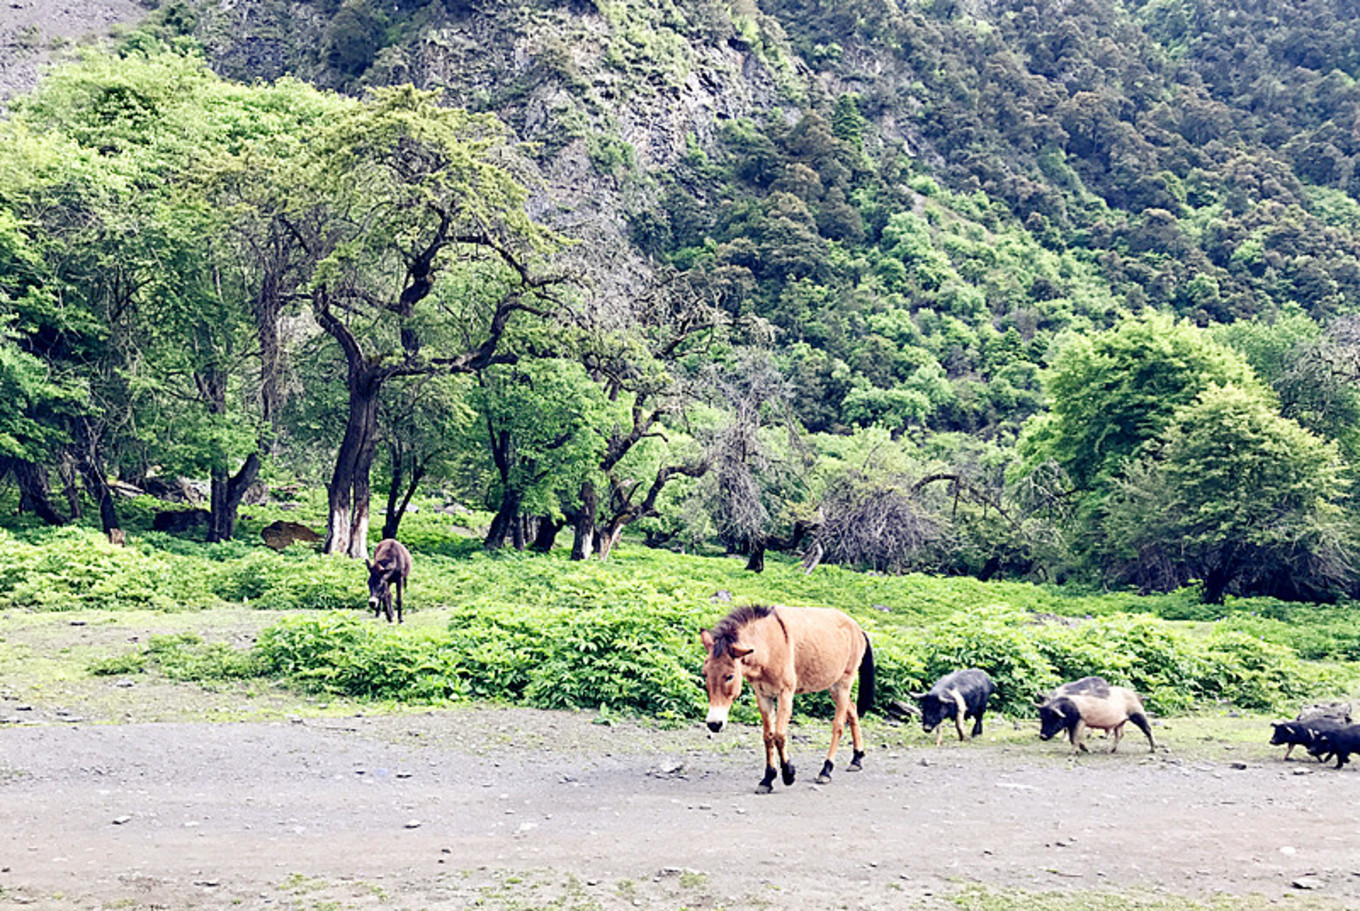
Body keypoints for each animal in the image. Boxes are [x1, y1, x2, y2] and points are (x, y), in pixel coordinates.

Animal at [696, 609, 875, 794]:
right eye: (704, 673)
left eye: (729, 676)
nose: (714, 724)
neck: (769, 646)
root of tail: (857, 628)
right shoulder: (763, 695)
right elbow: (768, 736)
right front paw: (767, 779)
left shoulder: (785, 694)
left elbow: (779, 735)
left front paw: (788, 774)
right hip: (833, 685)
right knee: (852, 710)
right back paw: (857, 758)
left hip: (844, 683)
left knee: (838, 726)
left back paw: (826, 770)